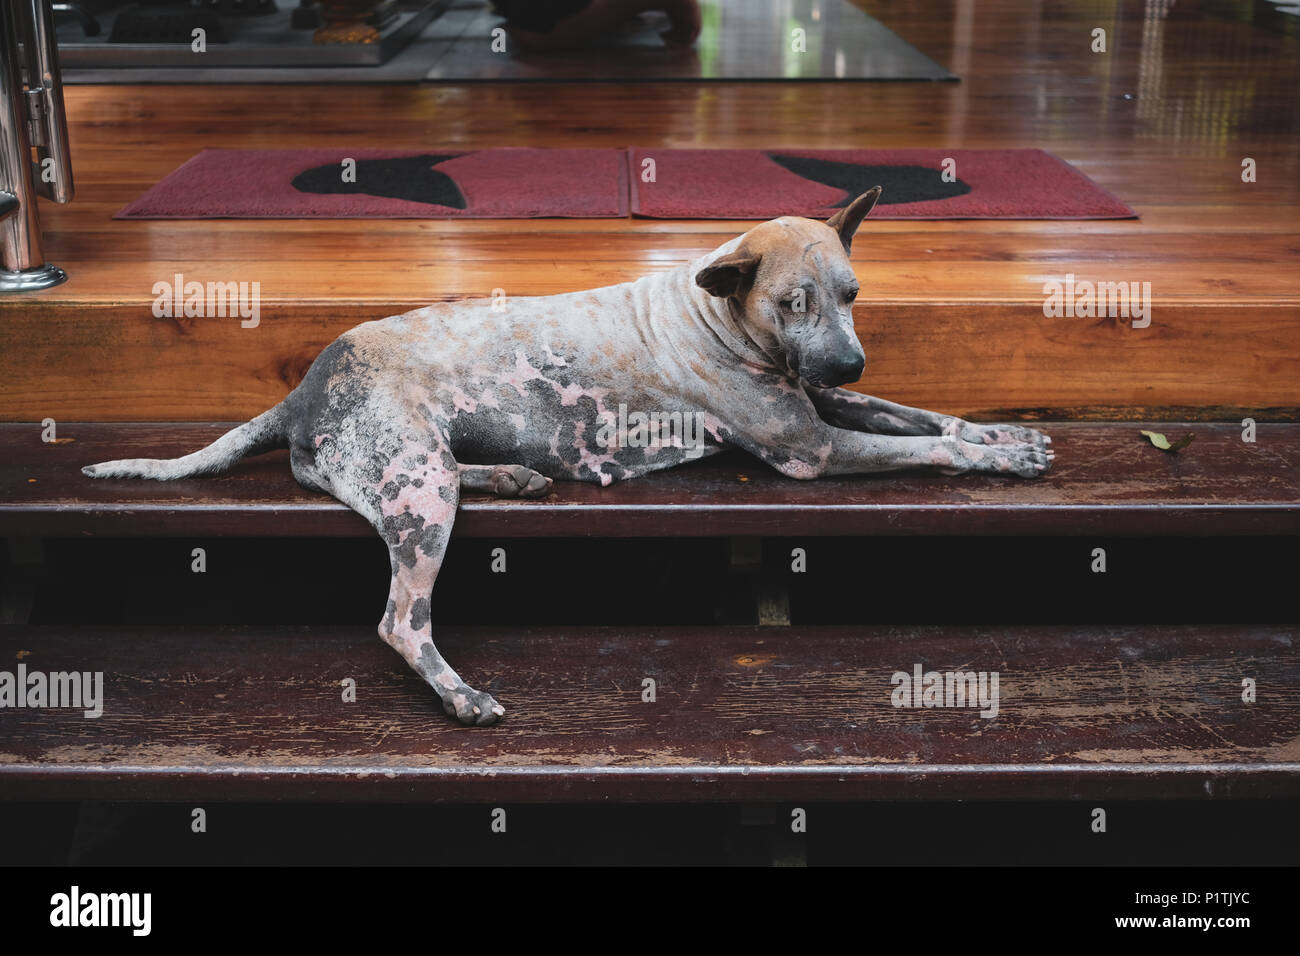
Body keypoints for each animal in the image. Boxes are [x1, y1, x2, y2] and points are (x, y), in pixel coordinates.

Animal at [83, 187, 1055, 723]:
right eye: (793, 303)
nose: (849, 359)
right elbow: (929, 450)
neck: (716, 310)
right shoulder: (812, 447)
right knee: (403, 620)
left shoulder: (825, 403)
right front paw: (999, 462)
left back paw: (516, 474)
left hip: (424, 472)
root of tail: (301, 391)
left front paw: (1005, 436)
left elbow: (930, 419)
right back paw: (460, 694)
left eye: (852, 294)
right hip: (417, 489)